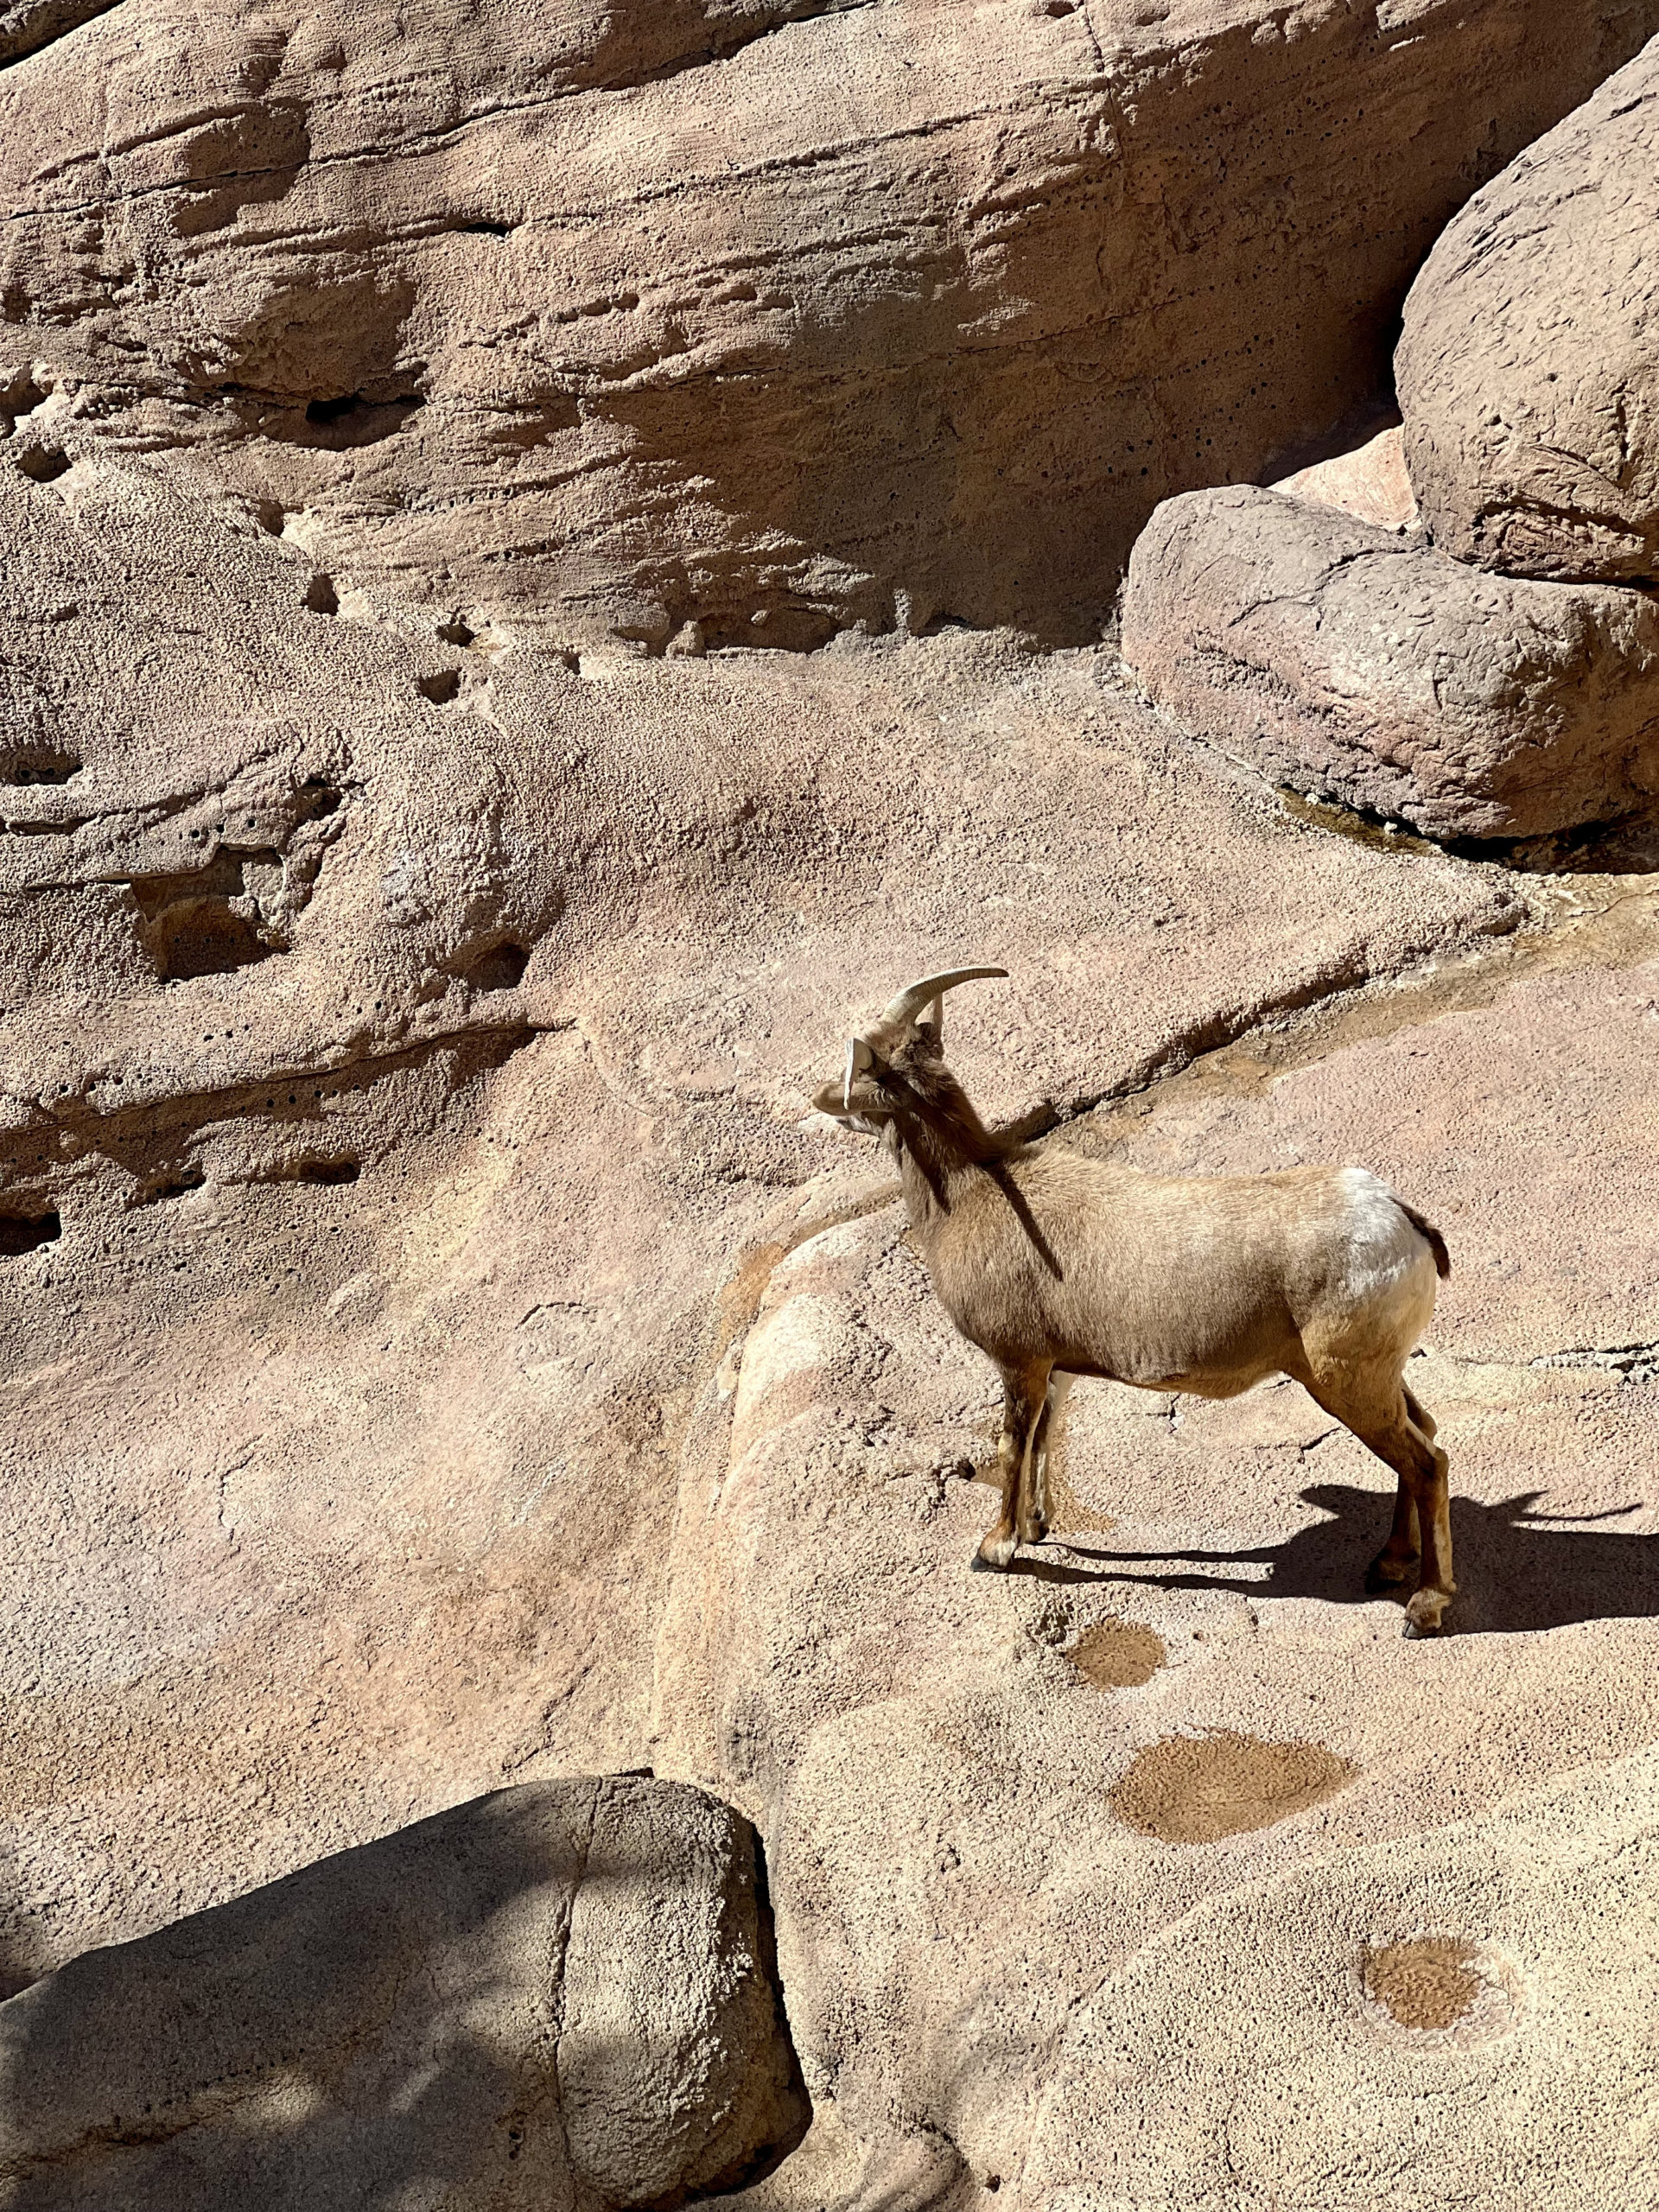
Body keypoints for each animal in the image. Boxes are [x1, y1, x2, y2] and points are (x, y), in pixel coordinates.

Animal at [814, 977, 1451, 1637]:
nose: (819, 1100)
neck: (971, 1196)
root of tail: (1402, 1222)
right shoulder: (1057, 1368)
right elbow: (1045, 1437)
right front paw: (1036, 1526)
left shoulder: (1019, 1363)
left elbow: (1014, 1444)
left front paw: (995, 1549)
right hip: (1377, 1377)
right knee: (1423, 1435)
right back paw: (1388, 1564)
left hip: (1345, 1383)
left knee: (1428, 1463)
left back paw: (1424, 1606)